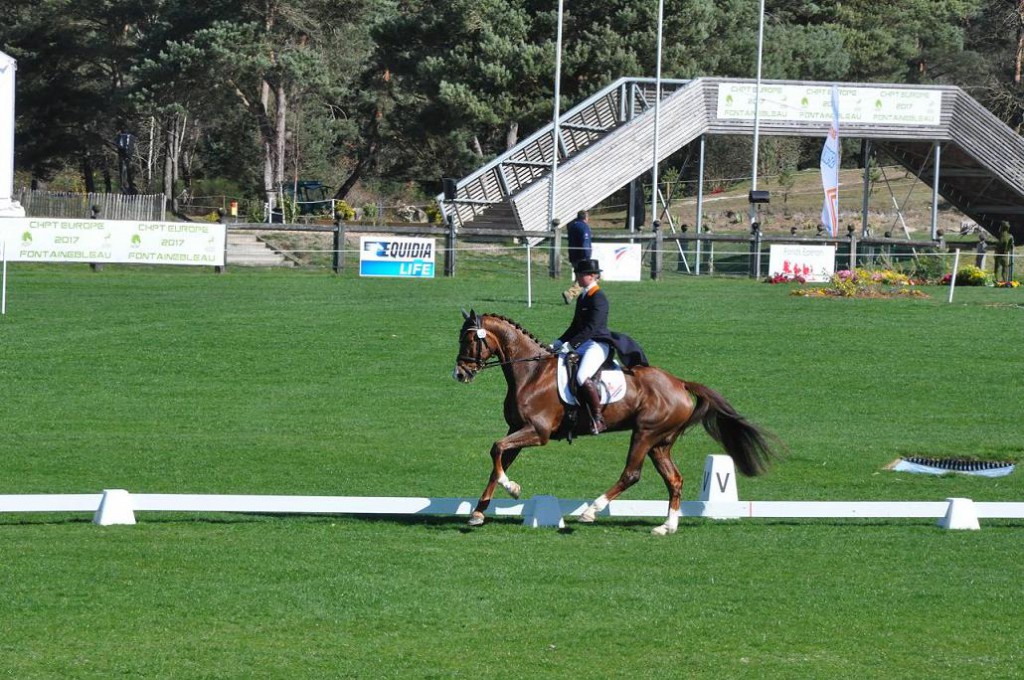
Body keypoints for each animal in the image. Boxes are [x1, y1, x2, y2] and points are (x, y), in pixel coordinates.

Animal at [452, 309, 778, 536]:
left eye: (469, 340)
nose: (459, 374)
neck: (531, 373)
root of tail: (680, 383)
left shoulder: (538, 432)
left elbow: (496, 449)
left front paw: (513, 489)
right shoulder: (516, 430)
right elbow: (498, 460)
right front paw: (479, 512)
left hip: (645, 434)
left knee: (631, 474)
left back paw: (591, 511)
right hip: (660, 442)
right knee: (674, 479)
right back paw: (666, 527)